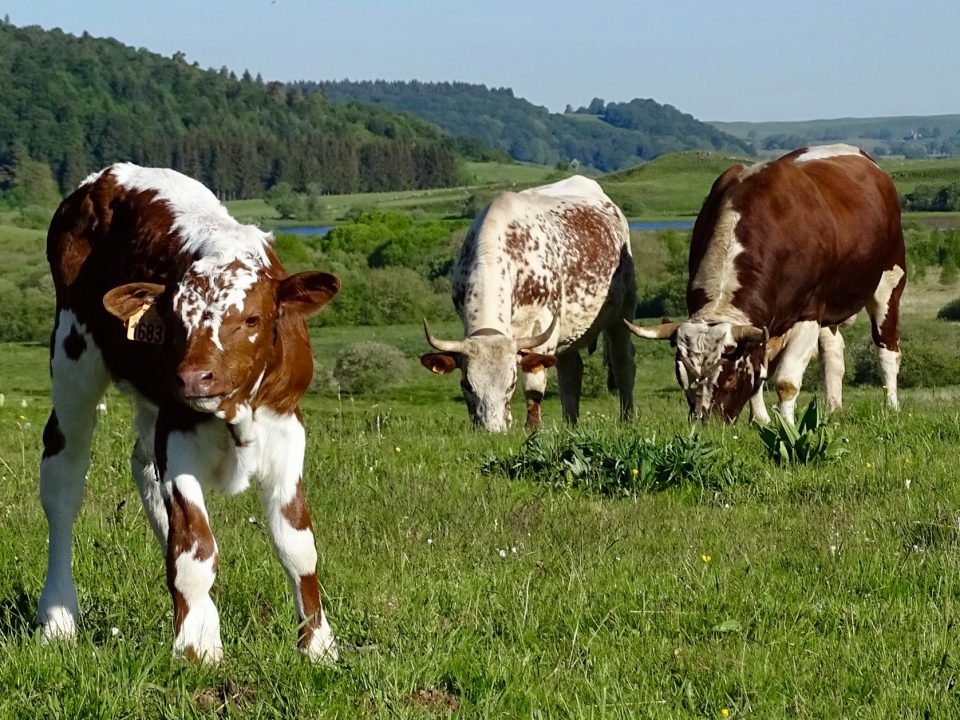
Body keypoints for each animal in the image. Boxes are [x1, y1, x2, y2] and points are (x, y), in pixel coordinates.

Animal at [39, 163, 344, 664]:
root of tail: (107, 176)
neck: (235, 415)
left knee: (144, 468)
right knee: (63, 481)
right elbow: (195, 548)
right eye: (175, 320)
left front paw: (318, 644)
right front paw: (193, 650)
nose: (193, 378)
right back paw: (57, 617)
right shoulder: (177, 431)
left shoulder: (285, 425)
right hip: (73, 356)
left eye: (252, 319)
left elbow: (297, 545)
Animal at [422, 175, 636, 430]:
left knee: (623, 364)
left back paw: (627, 417)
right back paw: (570, 423)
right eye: (467, 384)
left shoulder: (543, 326)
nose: (492, 429)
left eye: (511, 384)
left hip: (622, 312)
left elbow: (534, 386)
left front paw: (533, 426)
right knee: (571, 372)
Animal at [628, 147, 904, 428]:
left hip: (890, 281)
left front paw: (787, 426)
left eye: (729, 377)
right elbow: (759, 373)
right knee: (833, 352)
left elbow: (786, 382)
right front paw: (760, 419)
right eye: (682, 376)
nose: (708, 425)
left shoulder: (809, 313)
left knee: (887, 350)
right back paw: (832, 408)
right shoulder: (762, 330)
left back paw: (891, 408)